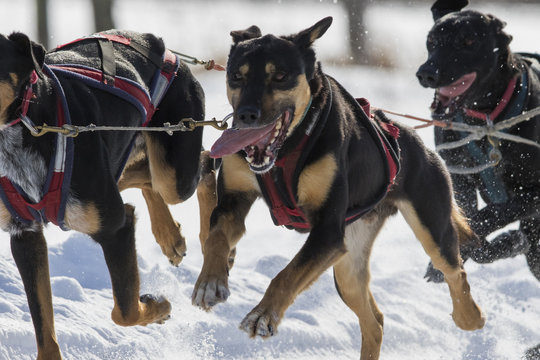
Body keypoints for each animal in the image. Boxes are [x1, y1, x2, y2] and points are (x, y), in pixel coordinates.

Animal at [0, 31, 215, 360]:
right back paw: (170, 236)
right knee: (143, 177)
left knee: (204, 165)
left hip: (175, 172)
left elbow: (125, 311)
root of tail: (153, 40)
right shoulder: (25, 235)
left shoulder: (115, 227)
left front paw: (158, 306)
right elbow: (44, 329)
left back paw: (212, 237)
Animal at [191, 17, 486, 360]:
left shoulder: (328, 232)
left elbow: (286, 275)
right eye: (237, 76)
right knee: (375, 321)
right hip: (347, 265)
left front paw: (262, 315)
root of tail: (415, 140)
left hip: (428, 227)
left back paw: (470, 316)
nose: (246, 115)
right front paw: (210, 282)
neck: (286, 149)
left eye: (280, 76)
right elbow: (216, 237)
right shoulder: (234, 200)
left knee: (454, 270)